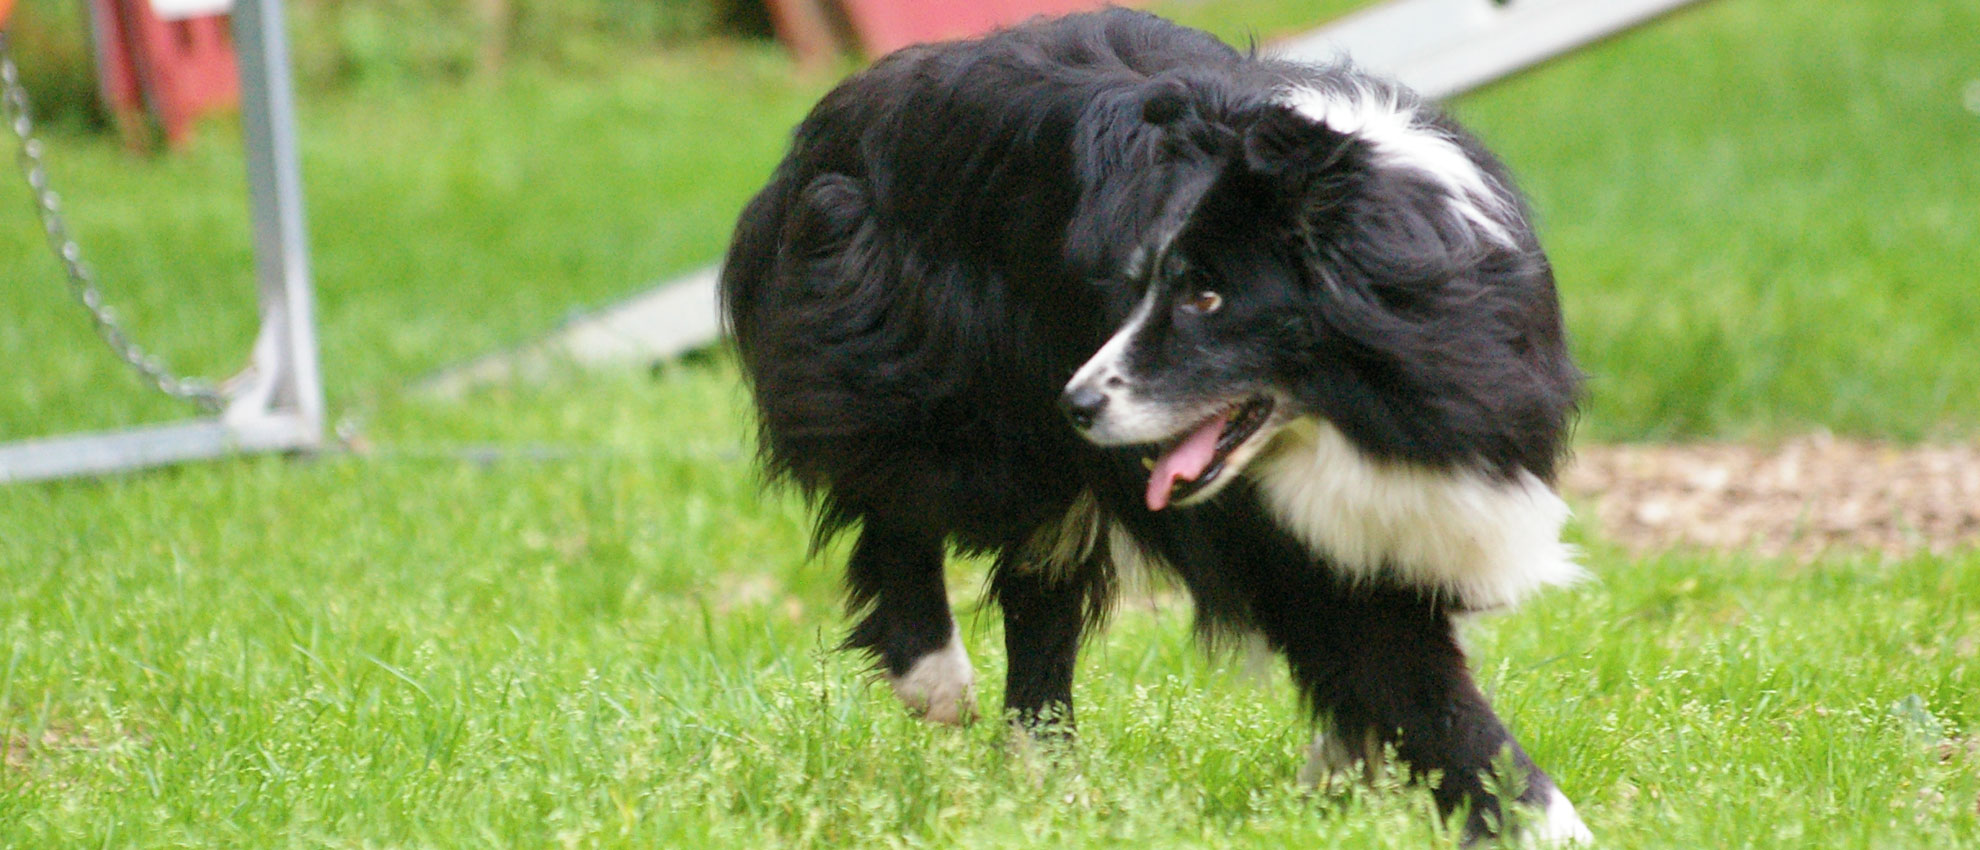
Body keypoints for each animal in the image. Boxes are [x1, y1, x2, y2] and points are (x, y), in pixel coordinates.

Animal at [728, 8, 1591, 840]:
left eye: (1206, 298)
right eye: (1141, 286)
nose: (1076, 403)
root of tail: (853, 101)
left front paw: (1342, 769)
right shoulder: (1277, 527)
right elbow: (1398, 664)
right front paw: (1538, 819)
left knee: (1041, 578)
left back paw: (1043, 774)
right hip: (928, 360)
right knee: (906, 489)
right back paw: (937, 681)